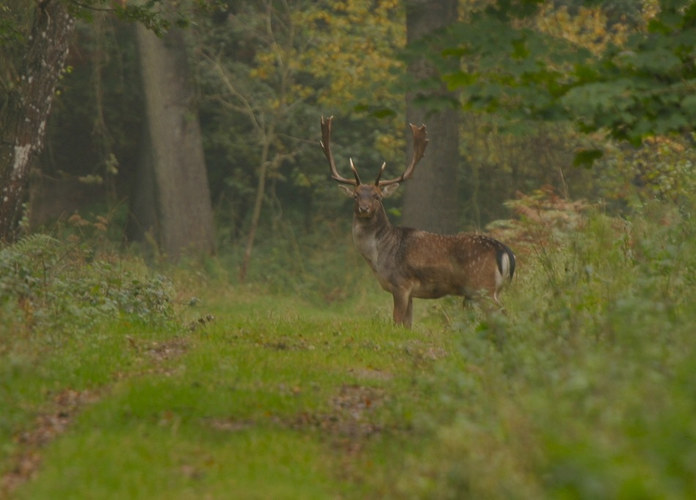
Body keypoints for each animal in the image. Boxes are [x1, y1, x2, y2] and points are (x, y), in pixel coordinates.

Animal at [322, 116, 516, 328]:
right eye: (356, 196)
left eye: (377, 196)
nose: (364, 208)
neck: (379, 258)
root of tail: (506, 252)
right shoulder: (411, 293)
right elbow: (408, 325)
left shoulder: (400, 284)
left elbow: (397, 322)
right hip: (487, 291)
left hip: (483, 287)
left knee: (506, 315)